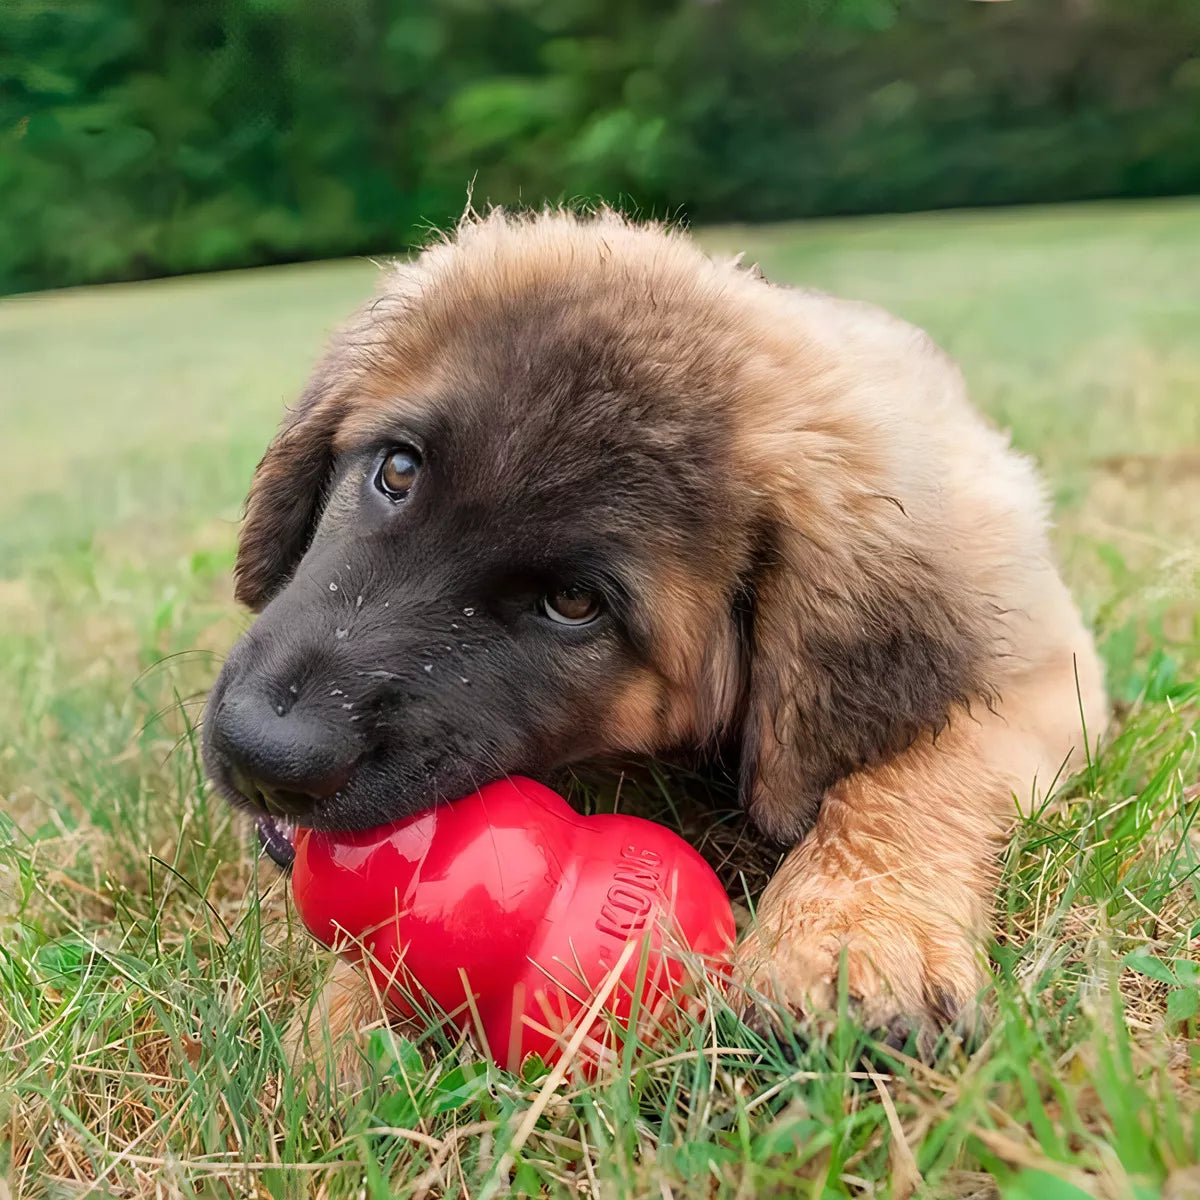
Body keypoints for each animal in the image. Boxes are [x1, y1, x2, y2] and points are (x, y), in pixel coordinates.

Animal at [199, 206, 1104, 1060]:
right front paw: (352, 1014)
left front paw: (856, 929)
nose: (264, 754)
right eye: (397, 470)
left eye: (574, 603)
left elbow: (921, 765)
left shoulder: (1048, 669)